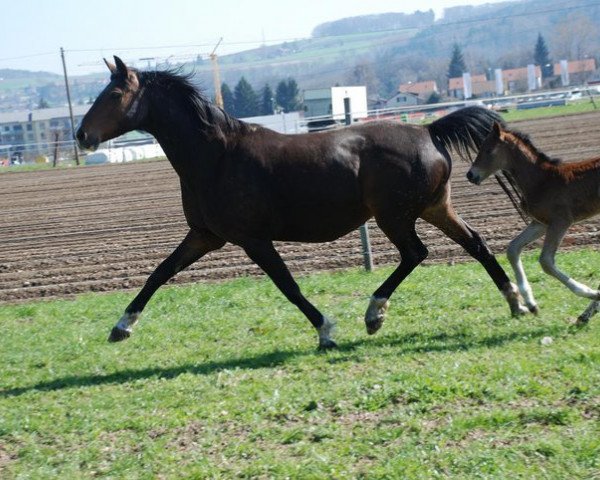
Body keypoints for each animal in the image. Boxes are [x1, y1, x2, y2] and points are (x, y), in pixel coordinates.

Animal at [75, 56, 524, 348]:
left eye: (115, 93)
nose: (81, 135)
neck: (215, 156)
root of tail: (429, 131)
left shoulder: (252, 240)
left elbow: (287, 286)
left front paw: (326, 331)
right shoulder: (204, 235)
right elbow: (159, 273)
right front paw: (121, 326)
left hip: (395, 217)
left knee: (416, 253)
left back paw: (374, 314)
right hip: (435, 208)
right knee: (476, 243)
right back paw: (516, 302)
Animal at [468, 122, 600, 324]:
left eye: (489, 150)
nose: (470, 174)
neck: (541, 179)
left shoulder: (561, 221)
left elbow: (545, 261)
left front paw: (591, 292)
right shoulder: (540, 223)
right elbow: (513, 249)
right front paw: (530, 303)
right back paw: (585, 315)